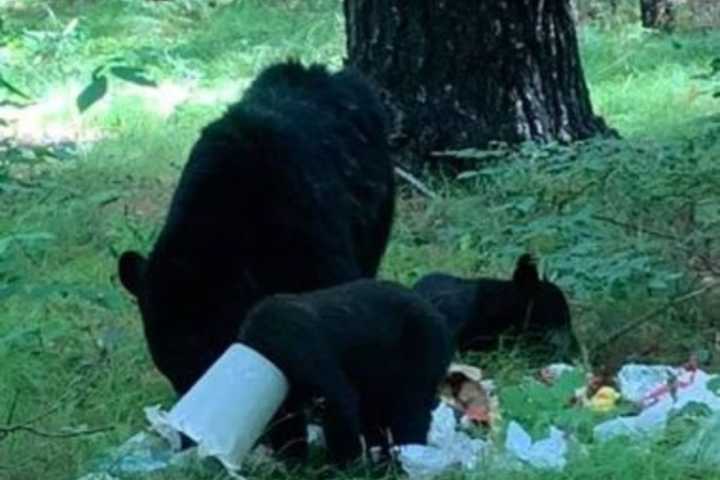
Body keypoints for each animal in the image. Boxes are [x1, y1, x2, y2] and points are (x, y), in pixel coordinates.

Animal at [239, 280, 452, 466]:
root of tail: (436, 311)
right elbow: (287, 420)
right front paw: (292, 463)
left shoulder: (298, 347)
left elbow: (338, 401)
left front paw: (343, 467)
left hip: (423, 347)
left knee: (409, 409)